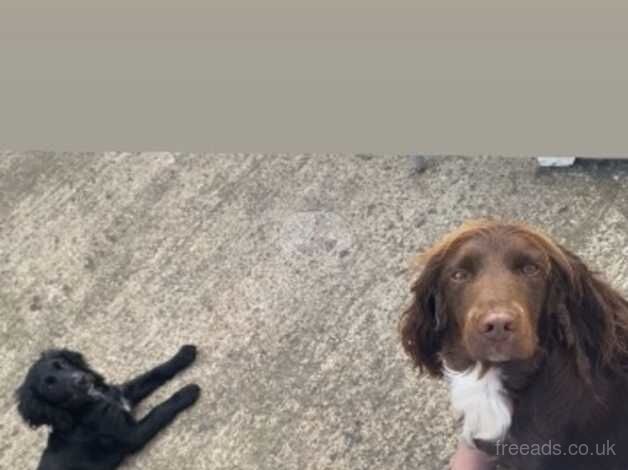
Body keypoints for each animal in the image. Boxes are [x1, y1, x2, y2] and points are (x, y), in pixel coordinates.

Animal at [15, 344, 201, 468]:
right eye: (49, 385)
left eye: (61, 364)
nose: (81, 379)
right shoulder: (132, 435)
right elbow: (158, 411)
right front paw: (187, 392)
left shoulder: (123, 394)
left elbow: (154, 373)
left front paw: (183, 355)